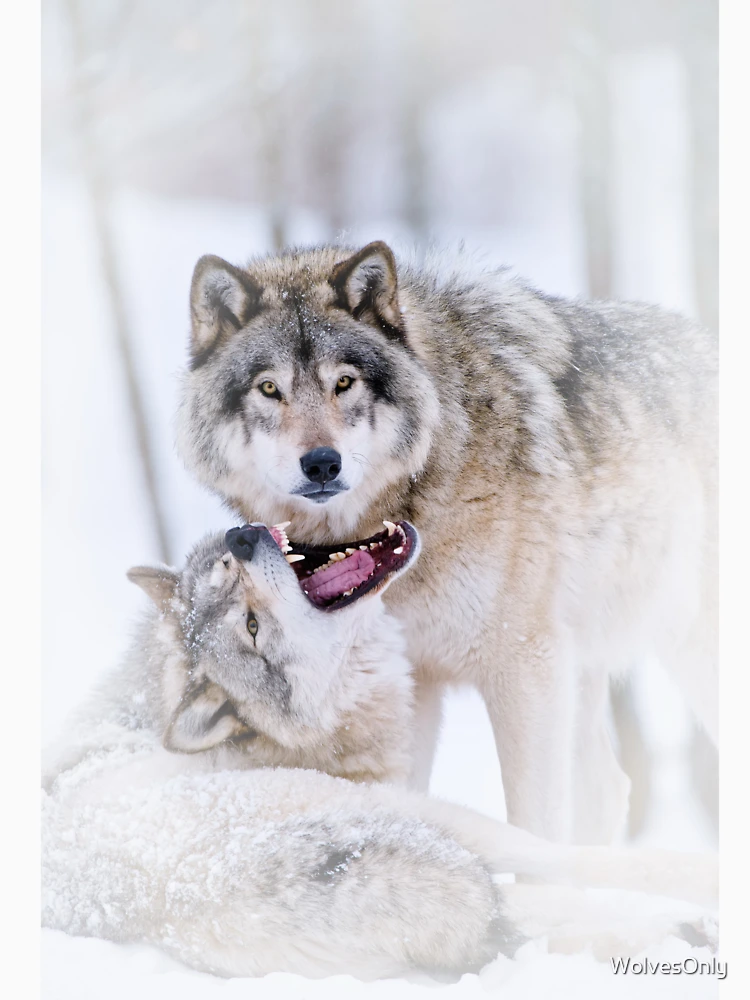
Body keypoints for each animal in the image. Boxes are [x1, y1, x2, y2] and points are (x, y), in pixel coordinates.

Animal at [43, 523, 717, 979]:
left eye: (226, 569)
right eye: (252, 630)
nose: (242, 535)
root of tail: (187, 891)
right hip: (419, 818)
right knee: (556, 875)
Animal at [175, 241, 718, 844]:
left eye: (344, 383)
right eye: (269, 388)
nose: (321, 464)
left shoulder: (524, 669)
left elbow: (533, 825)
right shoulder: (411, 685)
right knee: (606, 787)